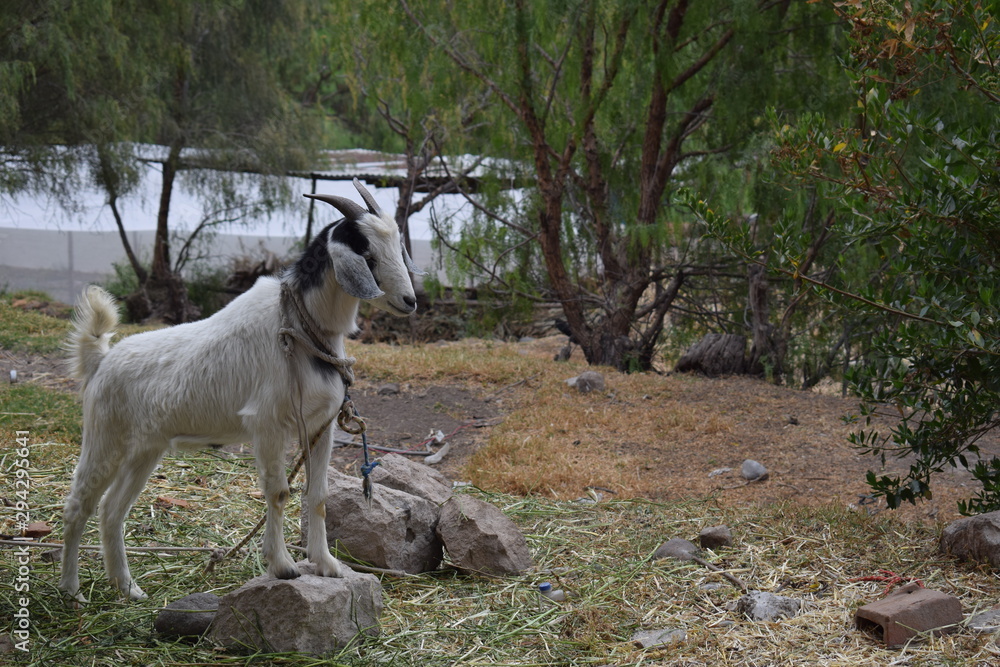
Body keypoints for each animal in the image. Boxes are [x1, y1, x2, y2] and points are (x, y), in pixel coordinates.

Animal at [59, 179, 424, 601]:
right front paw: (282, 566)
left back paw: (128, 588)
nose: (410, 301)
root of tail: (102, 360)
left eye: (396, 247)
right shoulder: (267, 425)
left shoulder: (322, 426)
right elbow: (279, 492)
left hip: (145, 449)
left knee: (111, 510)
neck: (298, 329)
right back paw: (71, 590)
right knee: (79, 504)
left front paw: (327, 565)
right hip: (105, 438)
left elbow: (317, 496)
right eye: (367, 254)